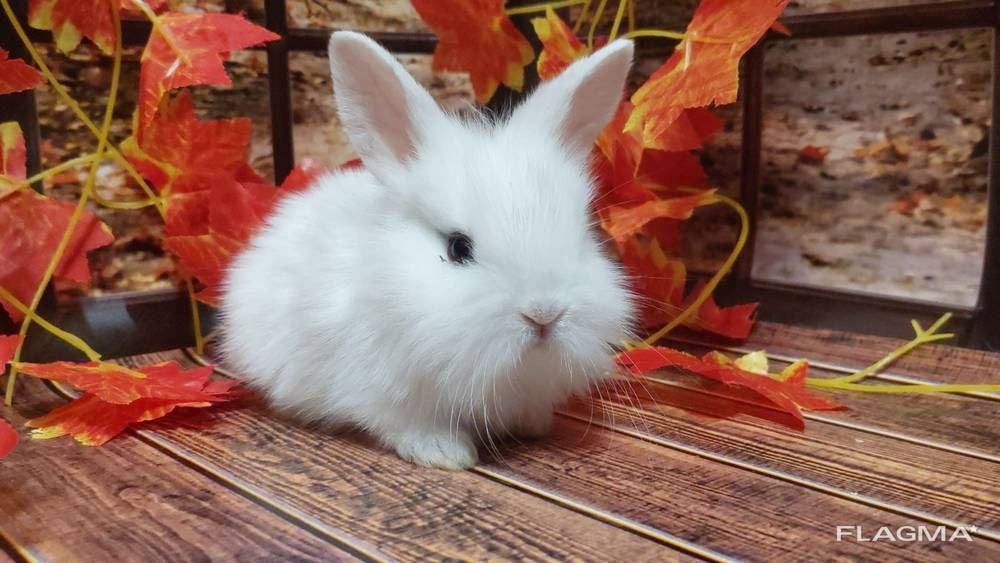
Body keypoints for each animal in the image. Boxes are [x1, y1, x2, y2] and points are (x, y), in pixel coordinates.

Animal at [219, 31, 636, 469]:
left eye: (581, 236)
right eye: (457, 248)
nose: (543, 314)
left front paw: (533, 425)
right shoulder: (385, 390)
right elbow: (406, 423)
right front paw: (445, 453)